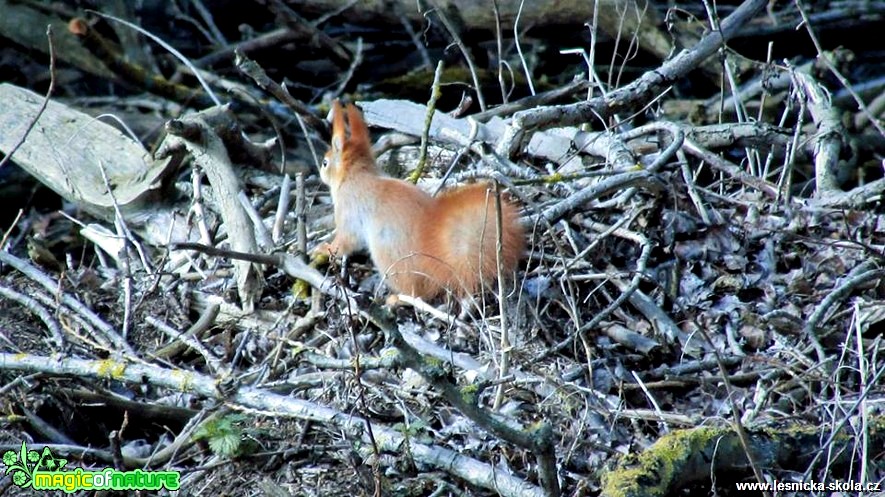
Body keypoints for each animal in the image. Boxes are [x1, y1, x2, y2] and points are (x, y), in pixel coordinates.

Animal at [312, 101, 524, 298]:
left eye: (325, 163)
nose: (320, 173)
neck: (356, 175)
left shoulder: (348, 210)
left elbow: (344, 242)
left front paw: (324, 248)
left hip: (387, 255)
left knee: (417, 294)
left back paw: (397, 299)